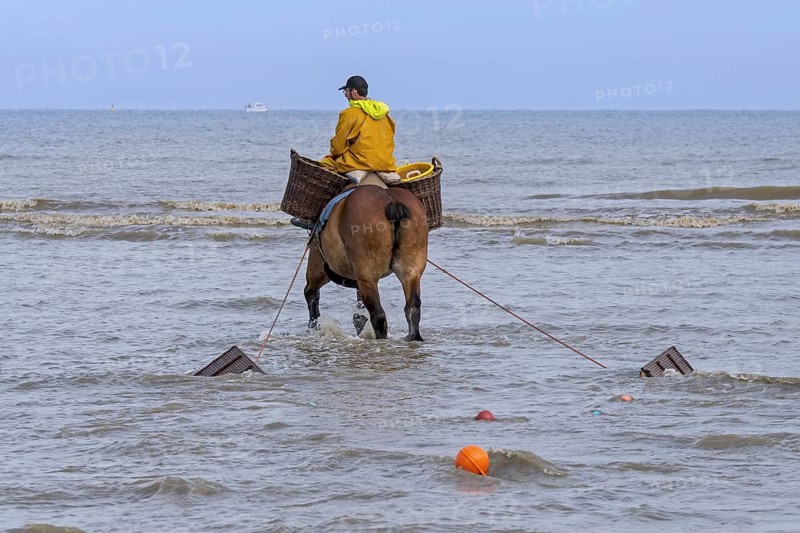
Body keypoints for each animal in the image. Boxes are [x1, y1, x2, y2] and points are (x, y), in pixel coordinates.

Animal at [303, 177, 429, 341]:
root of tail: (392, 201)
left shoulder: (319, 261)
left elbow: (311, 293)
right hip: (411, 272)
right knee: (413, 308)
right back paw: (412, 336)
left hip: (365, 277)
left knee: (378, 315)